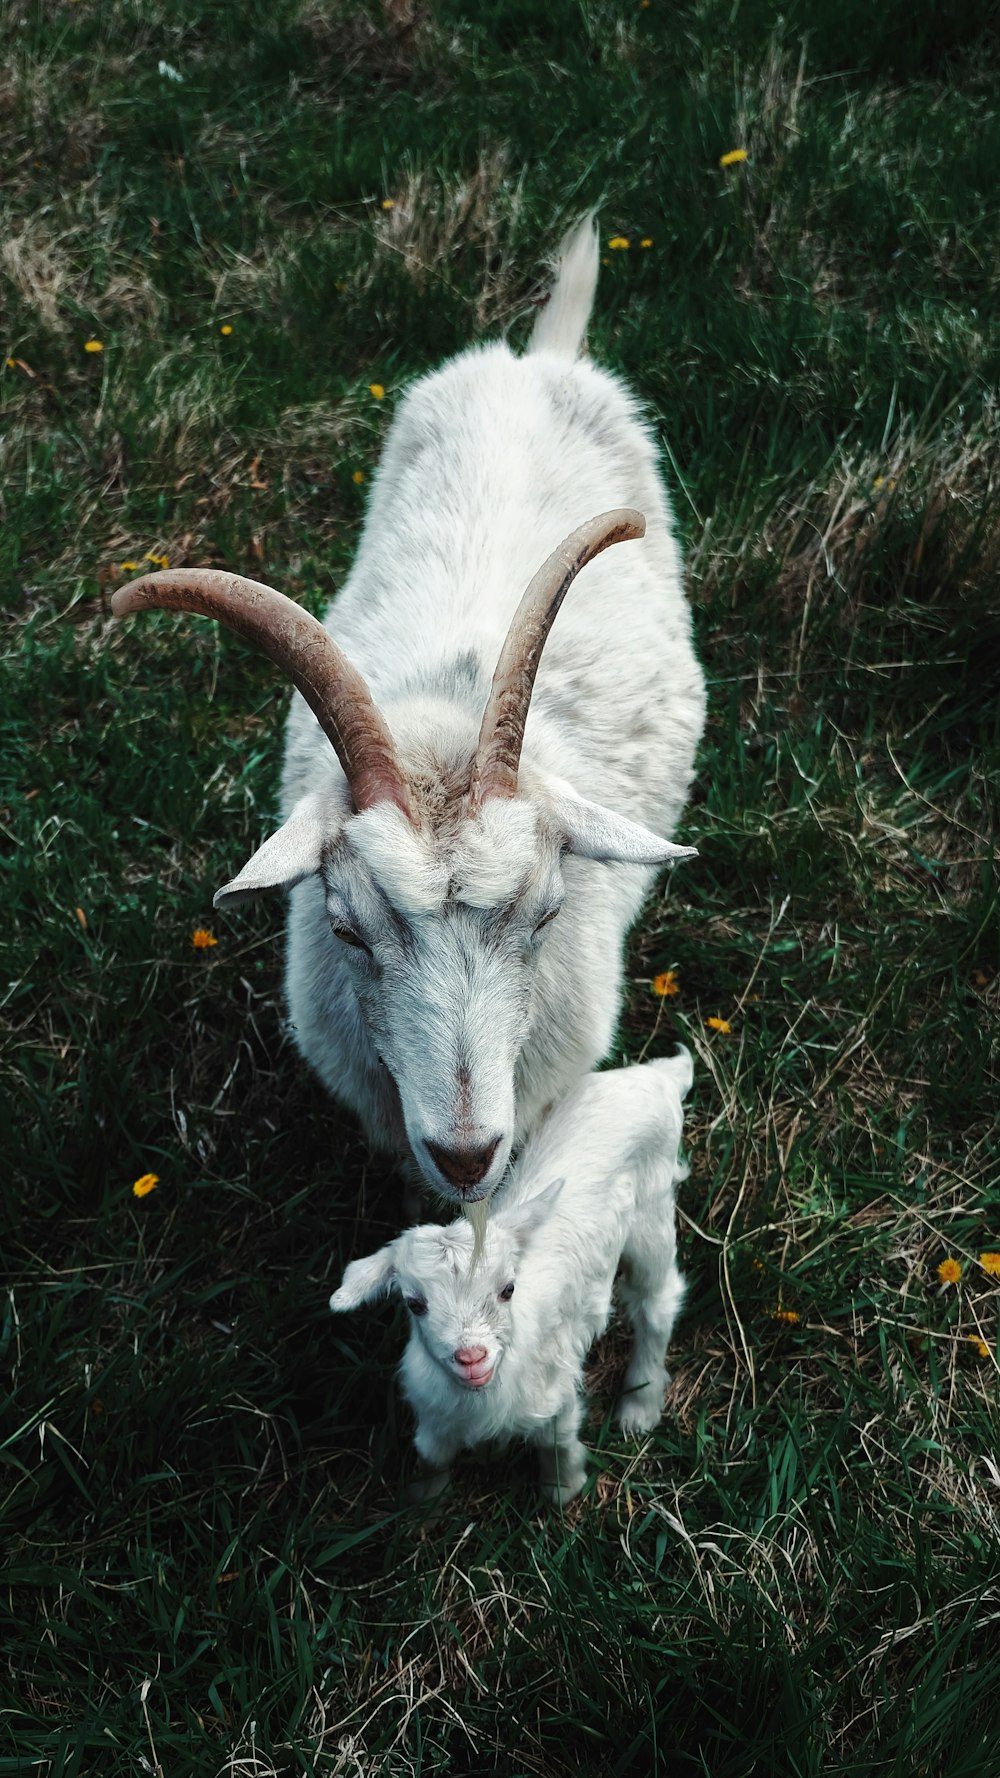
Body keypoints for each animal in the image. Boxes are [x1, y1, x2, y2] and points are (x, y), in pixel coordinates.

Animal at [330, 1045, 690, 1507]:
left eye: (507, 1289)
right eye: (414, 1304)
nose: (471, 1357)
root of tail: (658, 1076)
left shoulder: (555, 1392)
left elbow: (557, 1444)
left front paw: (563, 1492)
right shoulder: (433, 1414)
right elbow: (431, 1456)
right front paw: (425, 1502)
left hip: (652, 1210)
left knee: (655, 1301)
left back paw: (638, 1407)